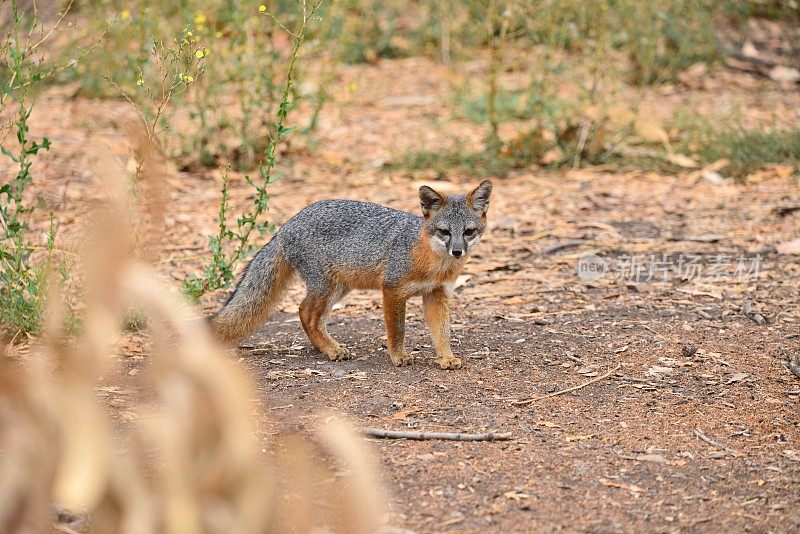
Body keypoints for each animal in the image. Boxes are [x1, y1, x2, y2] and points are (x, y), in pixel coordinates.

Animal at [209, 180, 490, 368]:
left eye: (468, 232)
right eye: (444, 232)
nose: (457, 251)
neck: (433, 262)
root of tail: (286, 225)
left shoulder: (436, 294)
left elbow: (442, 332)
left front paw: (446, 357)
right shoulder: (392, 289)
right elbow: (397, 329)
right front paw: (398, 356)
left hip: (339, 288)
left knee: (305, 313)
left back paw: (324, 347)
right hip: (326, 287)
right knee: (307, 313)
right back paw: (331, 350)